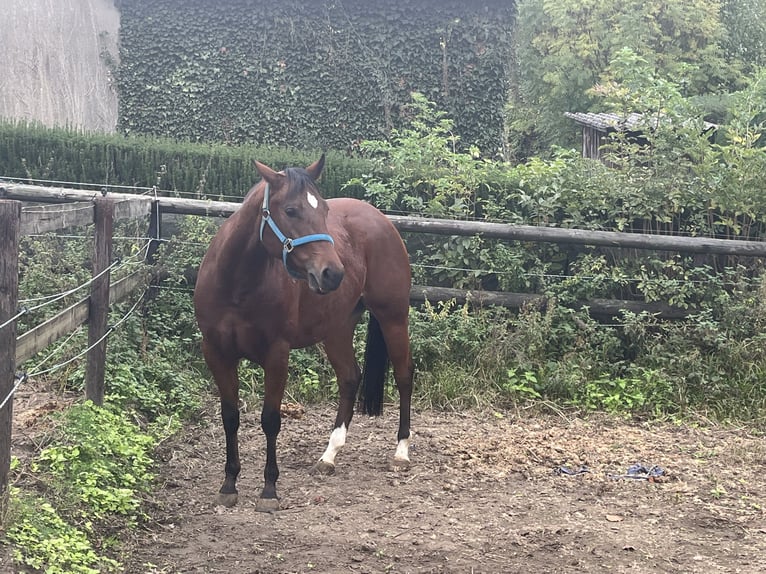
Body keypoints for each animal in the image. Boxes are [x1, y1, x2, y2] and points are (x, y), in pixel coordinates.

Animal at [193, 155, 414, 512]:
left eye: (323, 210)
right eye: (291, 210)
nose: (333, 273)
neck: (237, 285)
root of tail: (381, 219)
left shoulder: (277, 355)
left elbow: (270, 419)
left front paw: (269, 490)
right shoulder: (216, 353)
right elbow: (230, 416)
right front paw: (228, 484)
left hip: (393, 317)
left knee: (405, 375)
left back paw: (401, 451)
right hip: (337, 327)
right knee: (349, 377)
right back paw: (329, 456)